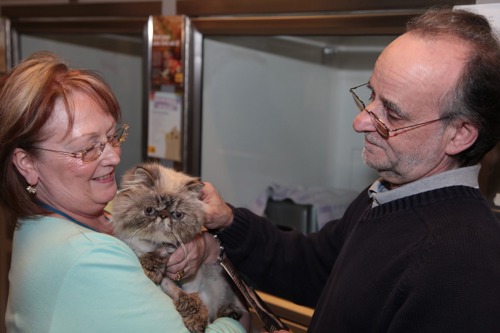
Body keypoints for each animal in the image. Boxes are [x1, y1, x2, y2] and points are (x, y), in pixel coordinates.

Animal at [112, 162, 247, 330]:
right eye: (149, 210)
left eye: (177, 214)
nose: (163, 215)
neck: (153, 244)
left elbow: (187, 298)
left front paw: (197, 321)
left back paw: (230, 312)